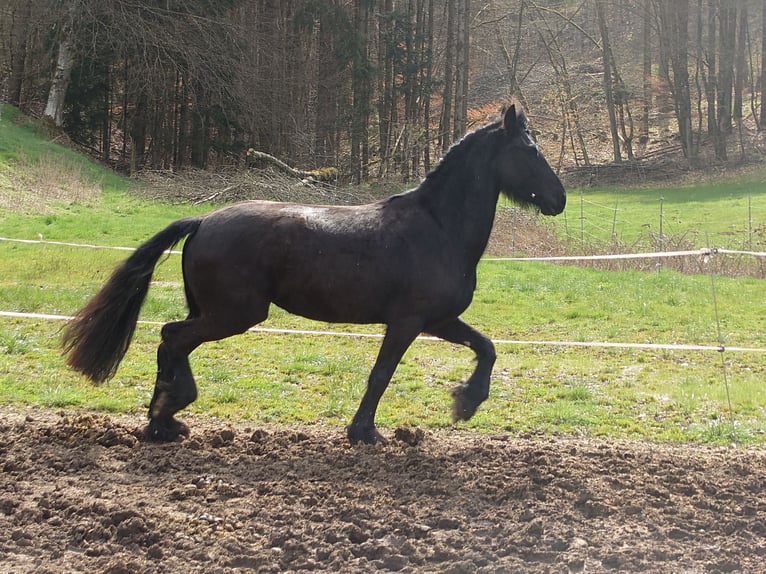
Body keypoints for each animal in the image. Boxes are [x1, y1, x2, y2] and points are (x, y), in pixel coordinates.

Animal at [62, 103, 566, 445]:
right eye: (528, 150)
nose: (559, 198)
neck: (438, 227)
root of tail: (203, 221)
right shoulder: (407, 322)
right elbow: (381, 374)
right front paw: (365, 432)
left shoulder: (439, 320)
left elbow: (487, 348)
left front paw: (465, 402)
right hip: (234, 314)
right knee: (172, 337)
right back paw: (167, 412)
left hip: (215, 311)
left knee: (173, 338)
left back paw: (163, 419)